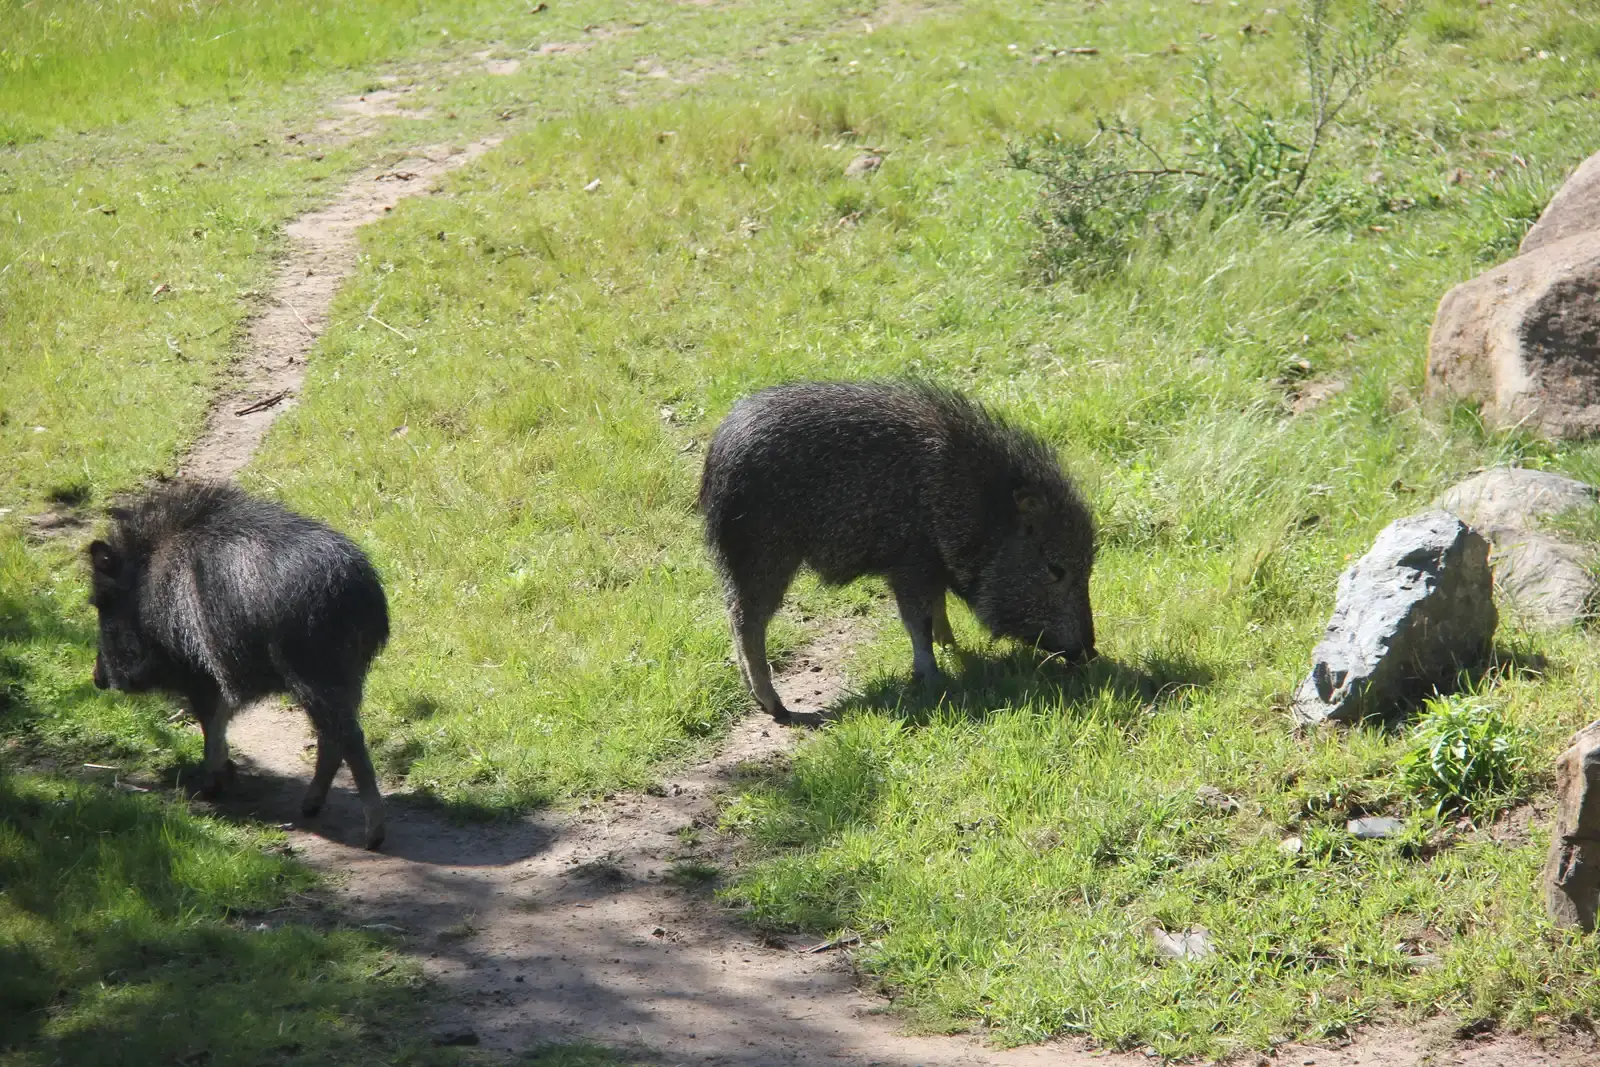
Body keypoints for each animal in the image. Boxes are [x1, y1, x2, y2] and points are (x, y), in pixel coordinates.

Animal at [87, 480, 390, 849]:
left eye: (103, 604)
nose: (97, 677)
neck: (148, 585)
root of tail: (360, 593)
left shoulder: (200, 673)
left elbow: (211, 724)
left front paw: (209, 788)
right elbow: (217, 723)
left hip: (315, 674)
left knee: (350, 740)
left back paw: (372, 838)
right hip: (348, 675)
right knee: (331, 739)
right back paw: (309, 808)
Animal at [699, 381, 1096, 722]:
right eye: (1056, 570)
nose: (1090, 653)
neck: (972, 502)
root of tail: (716, 457)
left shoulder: (931, 565)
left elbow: (938, 609)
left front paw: (953, 648)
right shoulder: (910, 563)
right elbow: (918, 622)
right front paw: (933, 678)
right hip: (765, 554)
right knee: (746, 621)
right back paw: (776, 706)